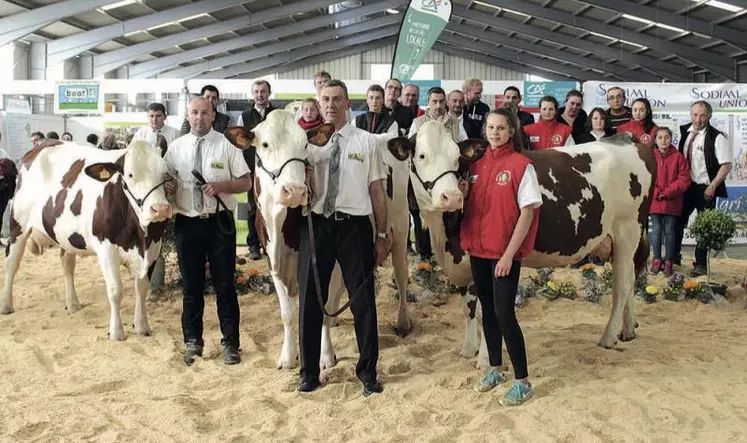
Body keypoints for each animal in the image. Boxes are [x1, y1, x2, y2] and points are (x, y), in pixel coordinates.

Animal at [1, 139, 172, 340]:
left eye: (164, 173)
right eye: (130, 174)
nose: (160, 209)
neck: (139, 236)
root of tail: (43, 144)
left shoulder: (153, 247)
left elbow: (142, 288)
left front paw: (142, 326)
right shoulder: (106, 249)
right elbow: (115, 290)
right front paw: (116, 332)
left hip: (66, 235)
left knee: (67, 264)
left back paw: (73, 304)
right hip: (18, 224)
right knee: (12, 263)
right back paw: (6, 305)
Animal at [225, 111, 412, 372]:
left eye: (305, 145)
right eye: (265, 144)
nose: (295, 191)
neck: (283, 229)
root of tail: (386, 138)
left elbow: (322, 309)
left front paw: (325, 356)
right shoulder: (273, 261)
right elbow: (288, 312)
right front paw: (287, 356)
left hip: (401, 226)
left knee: (401, 275)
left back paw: (403, 321)